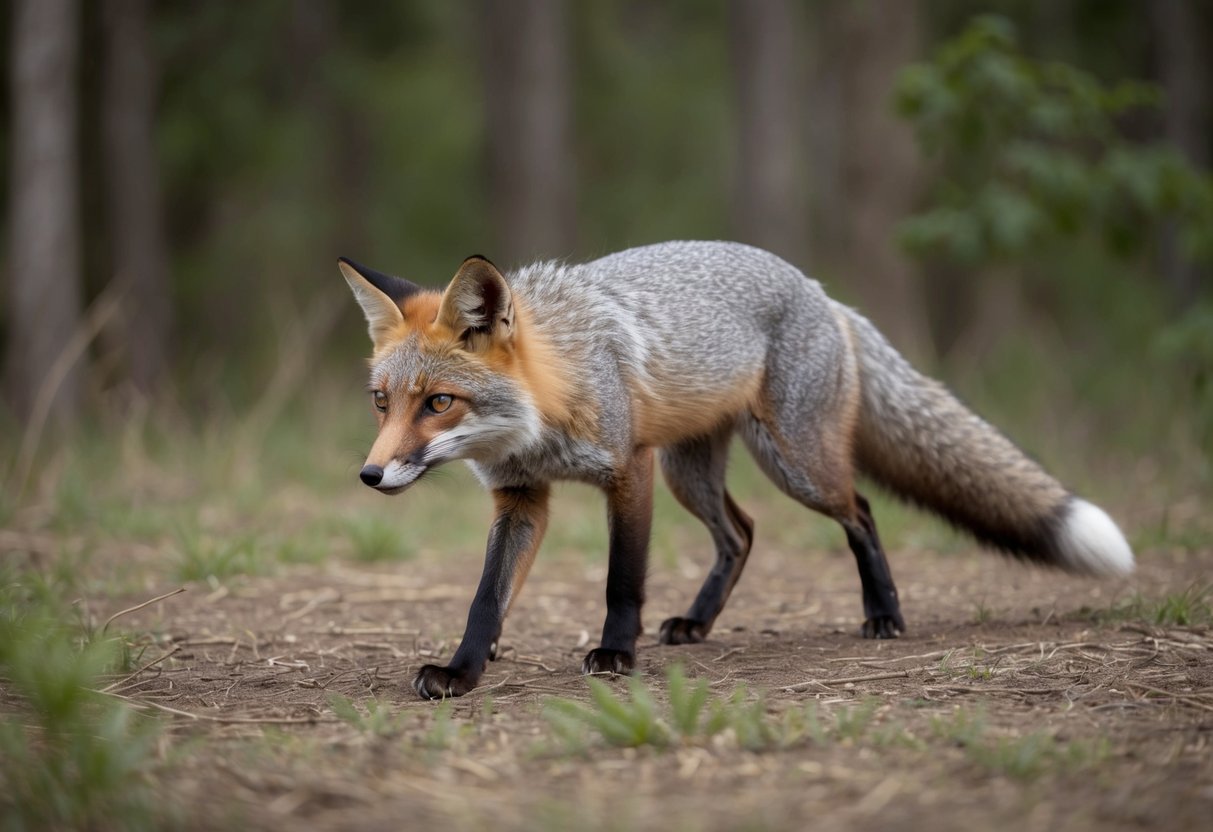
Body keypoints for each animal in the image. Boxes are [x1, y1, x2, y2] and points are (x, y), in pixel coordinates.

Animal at [338, 241, 1134, 700]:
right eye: (381, 402)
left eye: (439, 402)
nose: (369, 478)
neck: (553, 394)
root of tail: (819, 290)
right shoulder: (521, 497)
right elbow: (485, 598)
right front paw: (464, 668)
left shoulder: (629, 471)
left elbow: (621, 581)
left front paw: (614, 654)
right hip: (694, 475)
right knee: (742, 533)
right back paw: (697, 622)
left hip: (792, 465)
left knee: (861, 510)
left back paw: (883, 612)